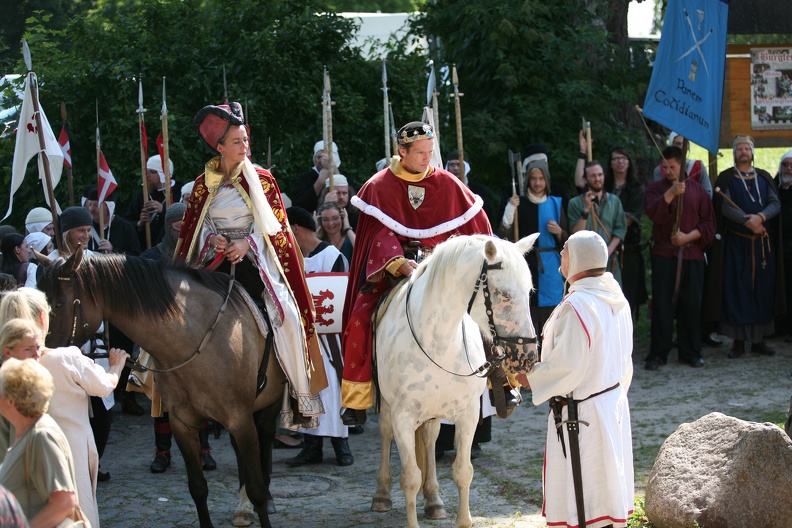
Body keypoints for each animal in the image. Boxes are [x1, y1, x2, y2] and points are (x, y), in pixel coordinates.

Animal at [38, 248, 284, 528]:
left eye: (58, 304)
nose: (39, 356)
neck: (195, 340)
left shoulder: (240, 419)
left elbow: (256, 488)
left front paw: (262, 498)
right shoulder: (183, 423)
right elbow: (198, 487)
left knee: (265, 435)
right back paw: (243, 508)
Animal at [372, 234, 540, 528]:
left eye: (529, 291)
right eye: (504, 294)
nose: (528, 356)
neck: (438, 340)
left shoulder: (468, 413)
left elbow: (463, 471)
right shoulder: (403, 415)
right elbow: (410, 477)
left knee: (429, 438)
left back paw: (434, 500)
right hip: (388, 405)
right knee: (385, 433)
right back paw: (382, 495)